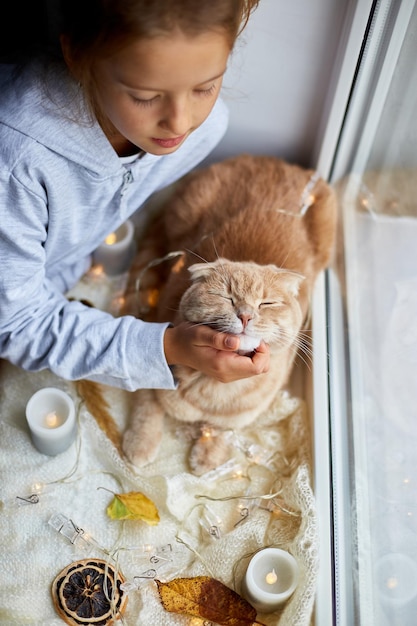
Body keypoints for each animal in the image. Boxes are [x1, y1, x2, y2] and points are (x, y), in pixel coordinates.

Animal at [120, 155, 334, 472]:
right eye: (227, 298)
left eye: (266, 304)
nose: (245, 315)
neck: (215, 391)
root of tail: (276, 161)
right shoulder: (154, 363)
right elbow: (146, 409)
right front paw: (140, 445)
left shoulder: (243, 415)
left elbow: (224, 429)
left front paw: (209, 454)